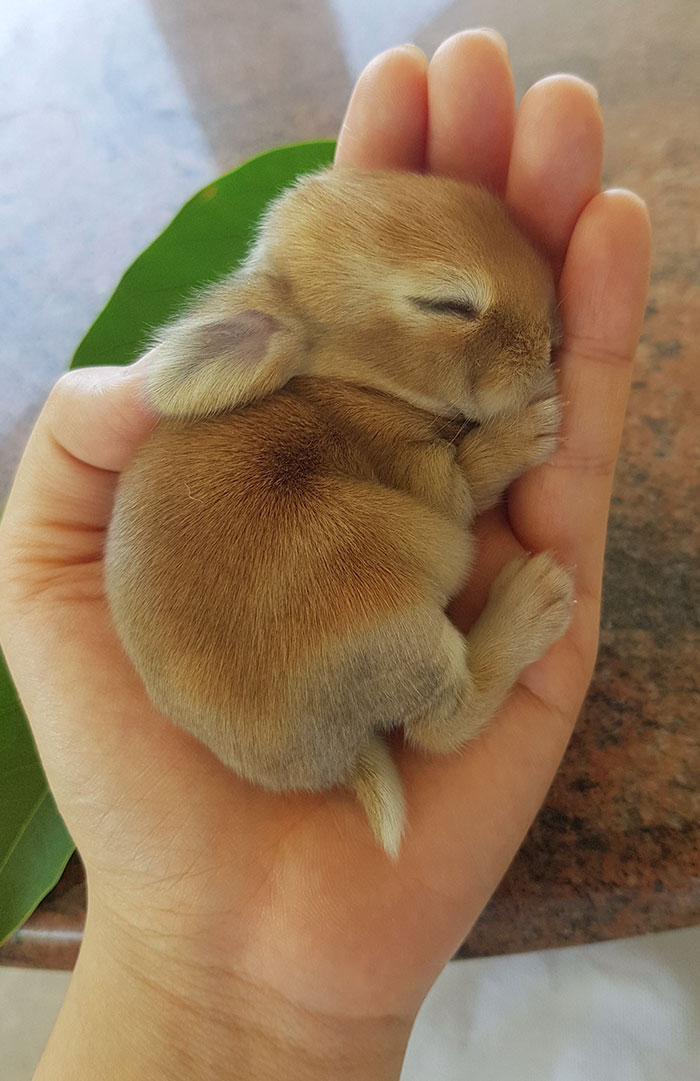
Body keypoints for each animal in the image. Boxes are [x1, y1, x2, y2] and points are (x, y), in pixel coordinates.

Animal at [105, 168, 573, 857]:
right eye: (448, 305)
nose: (551, 342)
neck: (351, 383)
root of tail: (333, 763)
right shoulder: (422, 473)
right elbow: (471, 479)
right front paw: (534, 426)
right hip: (389, 612)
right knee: (440, 725)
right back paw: (536, 600)